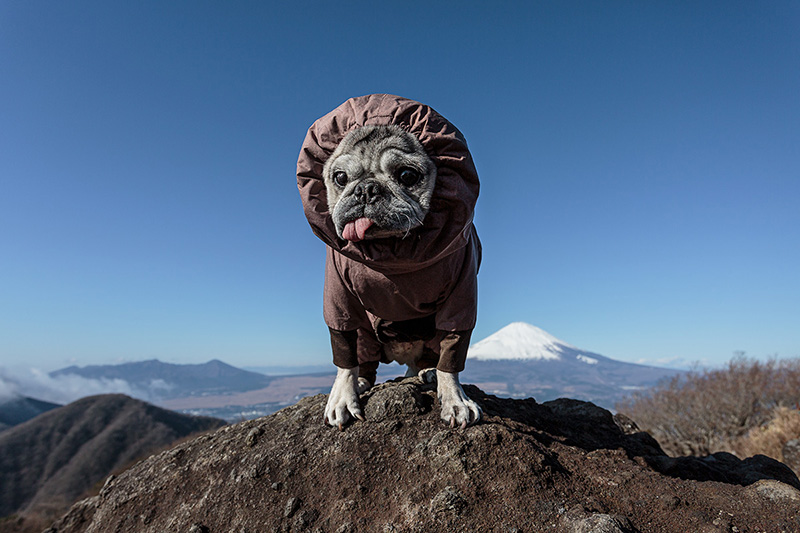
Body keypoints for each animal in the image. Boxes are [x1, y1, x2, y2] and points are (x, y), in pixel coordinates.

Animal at [298, 93, 482, 430]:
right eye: (340, 177)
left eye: (407, 175)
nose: (366, 189)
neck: (392, 254)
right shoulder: (339, 300)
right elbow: (344, 354)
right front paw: (342, 397)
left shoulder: (461, 296)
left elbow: (452, 352)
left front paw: (455, 399)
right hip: (366, 336)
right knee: (363, 359)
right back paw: (362, 381)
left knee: (430, 356)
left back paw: (427, 371)